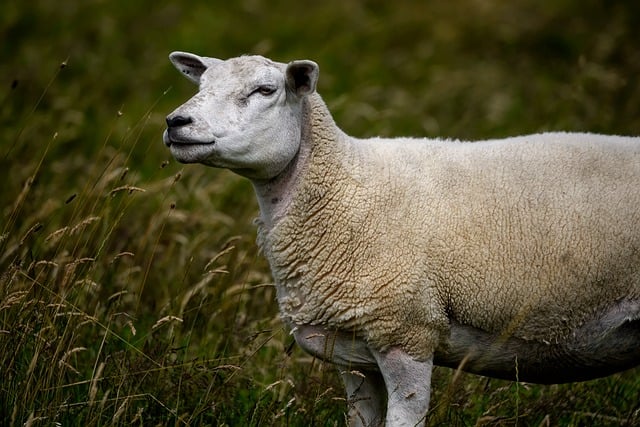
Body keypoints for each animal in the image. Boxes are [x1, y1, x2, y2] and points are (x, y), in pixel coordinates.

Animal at [165, 51, 640, 426]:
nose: (175, 121)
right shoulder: (352, 353)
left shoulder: (407, 332)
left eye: (265, 90)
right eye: (201, 83)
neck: (346, 185)